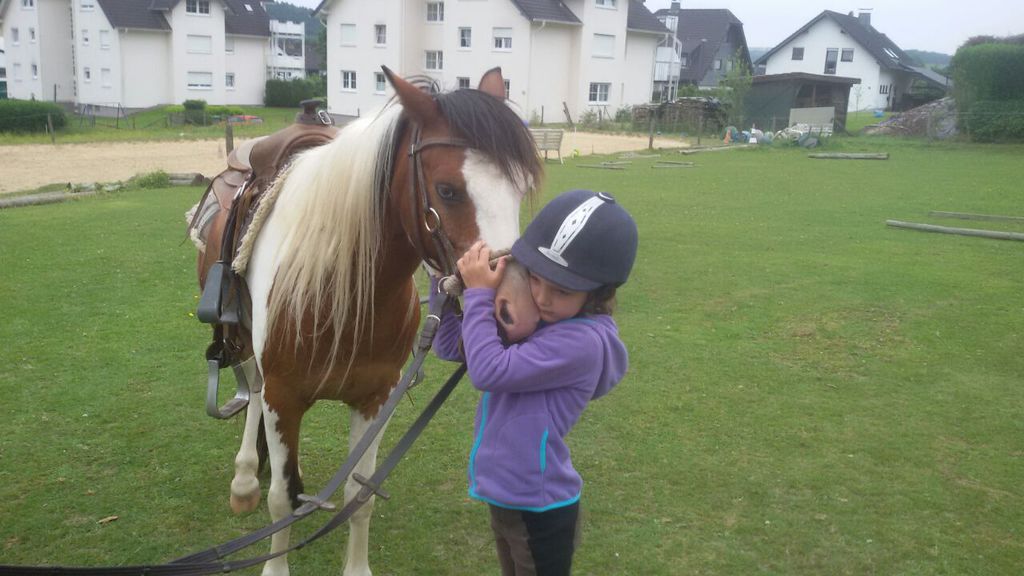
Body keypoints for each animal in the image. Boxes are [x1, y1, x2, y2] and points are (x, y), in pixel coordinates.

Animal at [195, 67, 543, 576]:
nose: (514, 307)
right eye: (448, 190)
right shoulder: (283, 396)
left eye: (518, 189)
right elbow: (279, 501)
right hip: (243, 340)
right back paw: (245, 478)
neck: (344, 287)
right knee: (253, 391)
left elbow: (359, 497)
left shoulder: (376, 397)